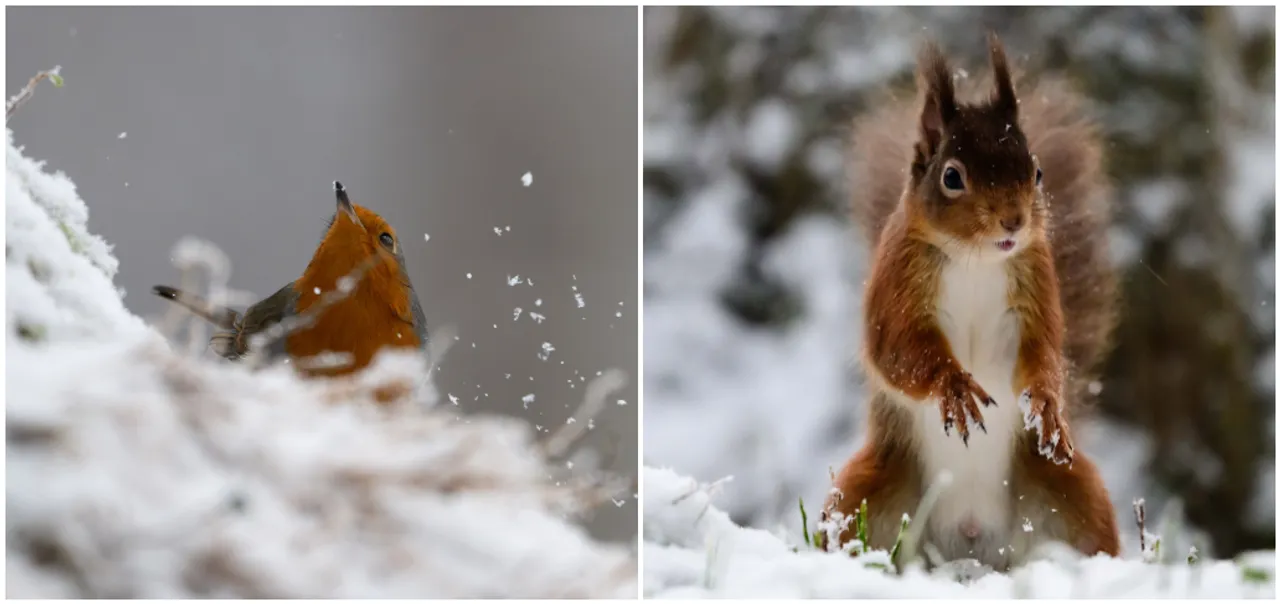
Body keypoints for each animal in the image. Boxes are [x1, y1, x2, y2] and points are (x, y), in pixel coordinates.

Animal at [824, 34, 1116, 570]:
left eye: (1037, 172)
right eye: (952, 177)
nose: (1014, 221)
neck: (975, 259)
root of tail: (972, 541)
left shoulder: (1036, 283)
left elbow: (1045, 350)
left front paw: (1046, 403)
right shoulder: (897, 284)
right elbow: (896, 349)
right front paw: (954, 387)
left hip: (1074, 496)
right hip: (864, 494)